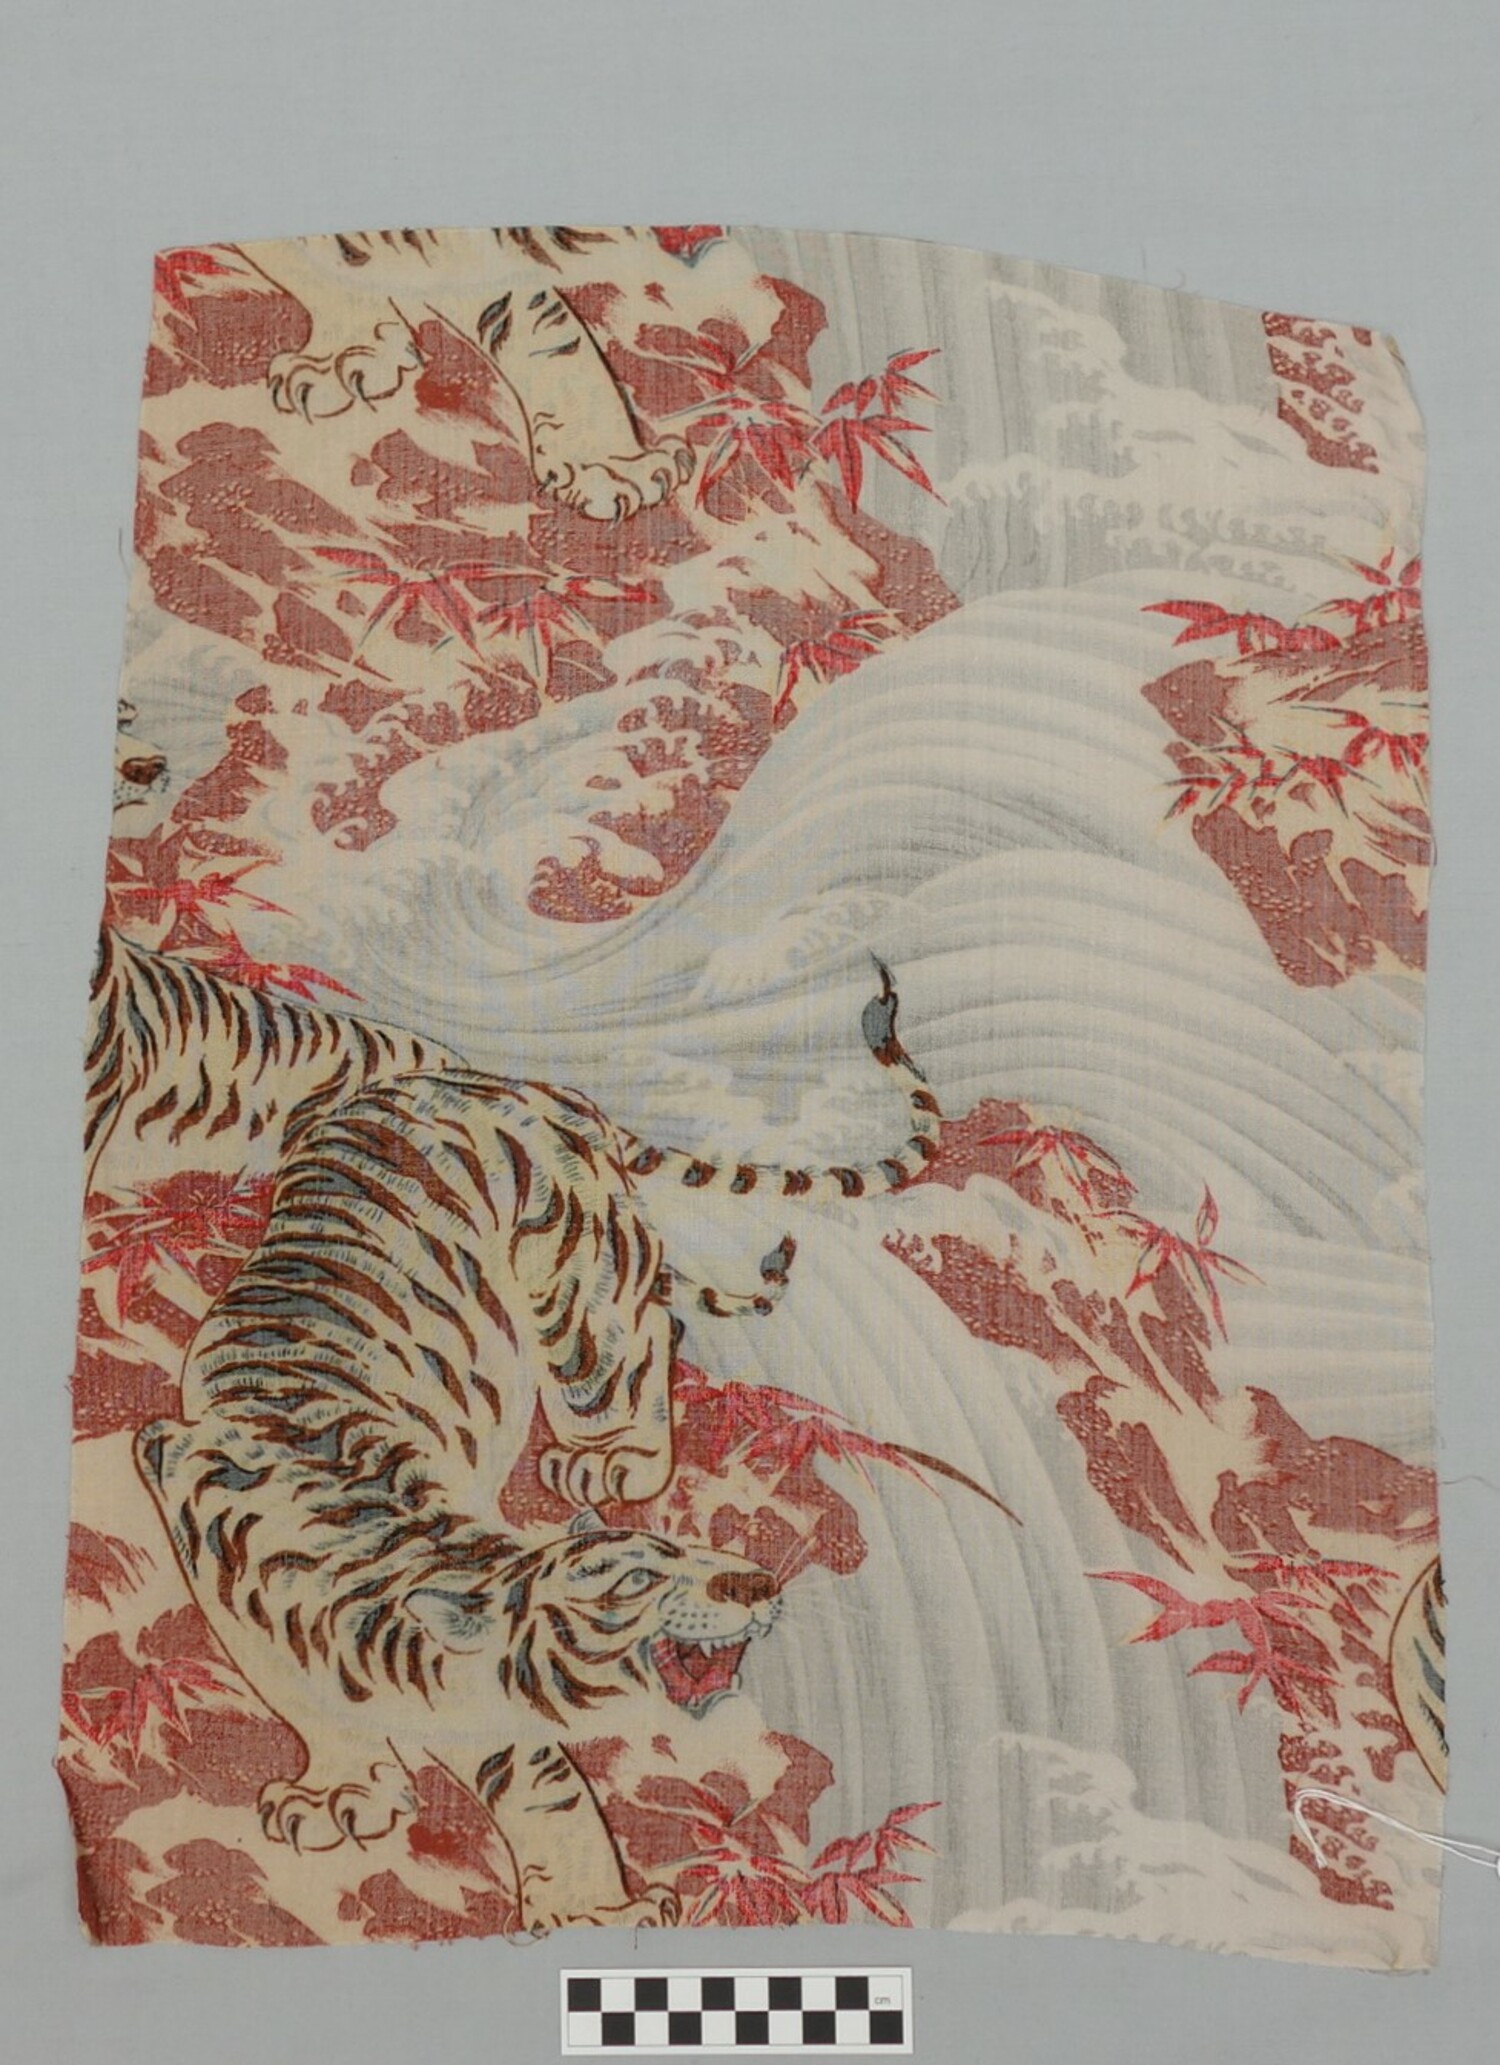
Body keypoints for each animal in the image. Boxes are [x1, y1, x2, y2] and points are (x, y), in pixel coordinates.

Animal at [134, 1067, 792, 1933]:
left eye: (697, 1549)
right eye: (638, 1580)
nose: (755, 1581)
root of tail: (486, 1075)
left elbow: (547, 1786)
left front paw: (598, 1910)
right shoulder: (183, 1491)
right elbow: (299, 1691)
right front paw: (341, 1788)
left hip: (575, 1281)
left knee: (636, 1337)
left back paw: (610, 1460)